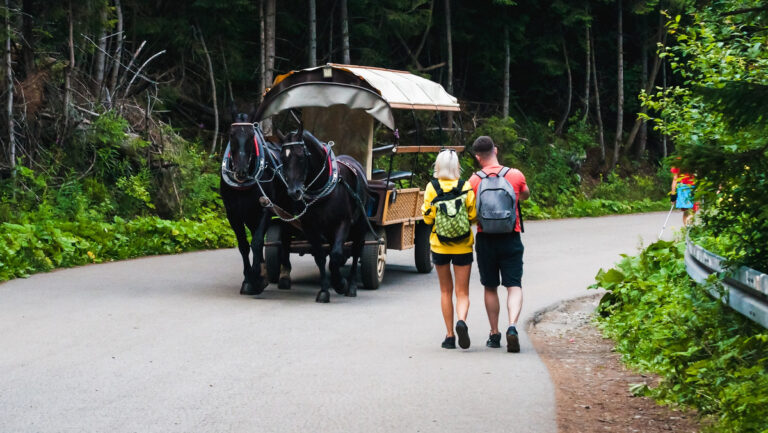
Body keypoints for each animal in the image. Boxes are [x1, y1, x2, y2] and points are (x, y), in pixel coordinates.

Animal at [276, 124, 372, 300]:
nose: (294, 192)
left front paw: (341, 284)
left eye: (301, 156)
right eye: (283, 159)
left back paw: (352, 286)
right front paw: (325, 290)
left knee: (356, 251)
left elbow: (336, 255)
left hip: (360, 225)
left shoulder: (343, 222)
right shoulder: (310, 227)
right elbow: (321, 256)